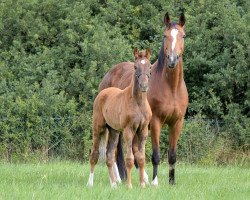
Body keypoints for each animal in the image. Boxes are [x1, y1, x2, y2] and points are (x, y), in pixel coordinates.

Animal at [86, 48, 152, 188]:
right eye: (135, 67)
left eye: (149, 66)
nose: (144, 86)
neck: (138, 103)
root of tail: (103, 92)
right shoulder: (128, 130)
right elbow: (130, 159)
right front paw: (130, 186)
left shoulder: (143, 130)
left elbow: (141, 158)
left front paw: (142, 185)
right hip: (98, 129)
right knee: (94, 155)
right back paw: (90, 183)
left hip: (114, 131)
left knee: (110, 156)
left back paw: (113, 184)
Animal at [98, 12, 188, 186]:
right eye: (165, 35)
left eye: (183, 35)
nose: (172, 60)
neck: (171, 87)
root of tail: (108, 75)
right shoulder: (155, 122)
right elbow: (155, 155)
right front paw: (154, 182)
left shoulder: (177, 123)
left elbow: (172, 155)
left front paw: (171, 182)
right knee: (119, 150)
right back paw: (122, 179)